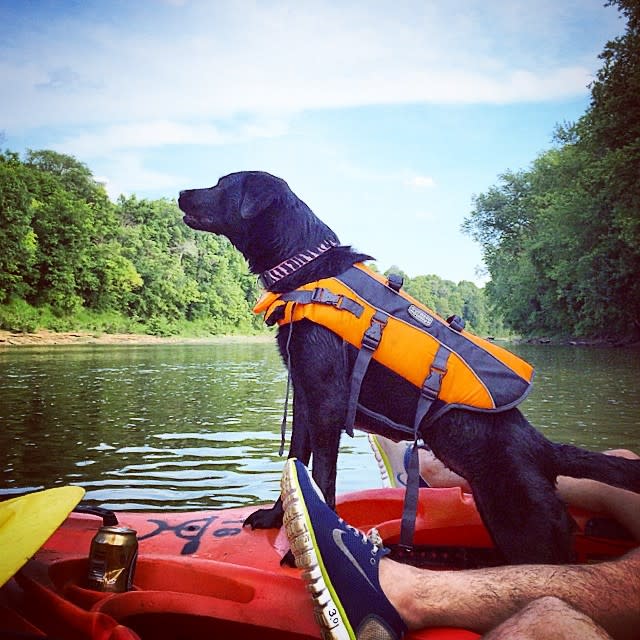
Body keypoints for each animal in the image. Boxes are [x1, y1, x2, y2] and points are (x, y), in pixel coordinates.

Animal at [180, 171, 640, 564]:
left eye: (221, 184)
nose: (181, 193)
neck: (306, 268)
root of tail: (544, 449)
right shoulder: (306, 402)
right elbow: (295, 466)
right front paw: (276, 519)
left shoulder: (326, 403)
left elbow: (323, 478)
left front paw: (305, 547)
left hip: (528, 529)